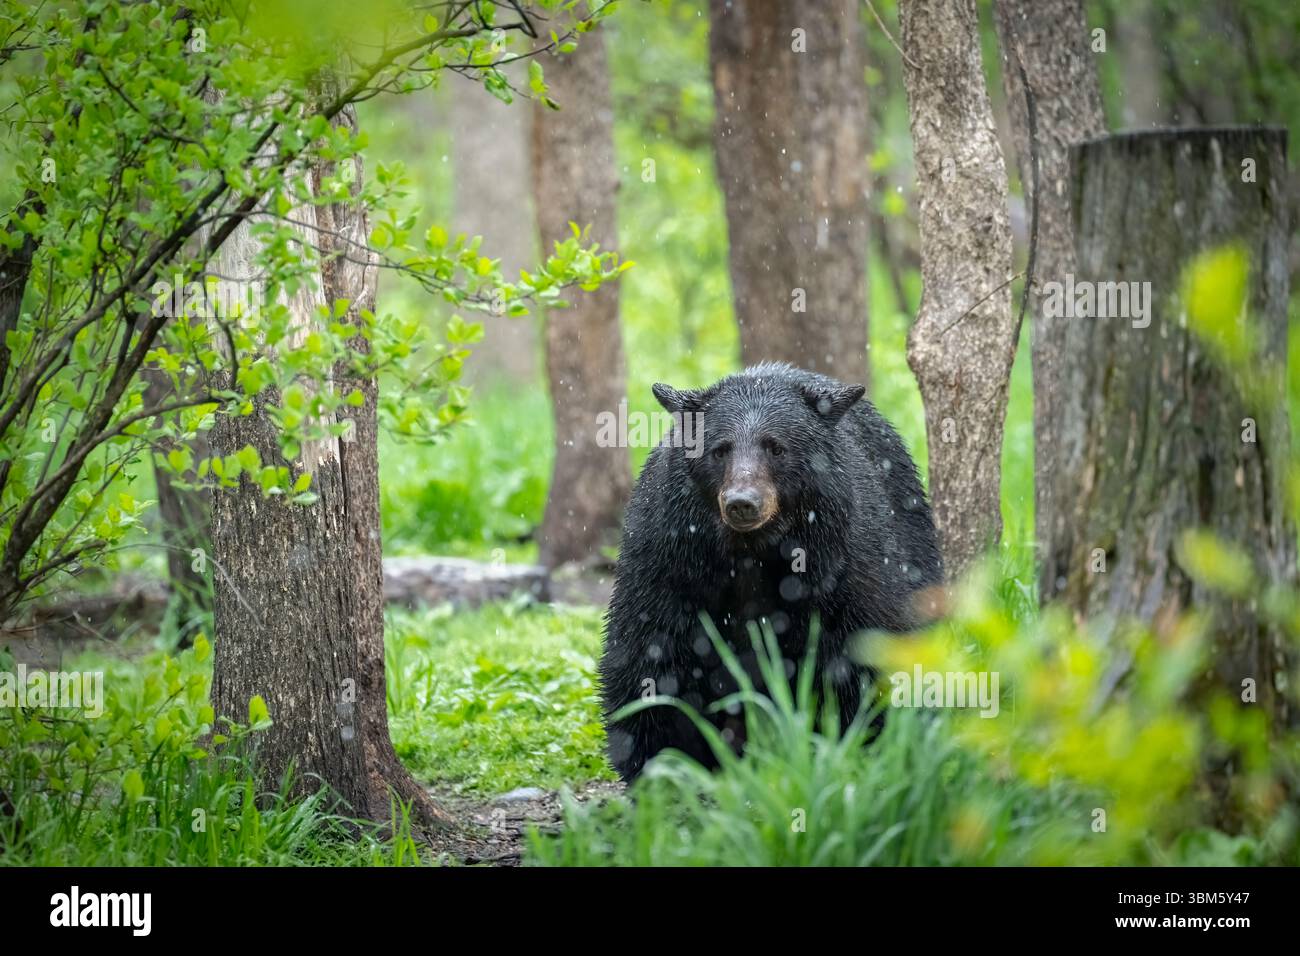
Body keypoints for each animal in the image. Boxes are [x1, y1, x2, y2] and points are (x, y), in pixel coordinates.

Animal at [599, 362, 943, 782]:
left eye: (776, 447)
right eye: (720, 449)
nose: (742, 502)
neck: (751, 552)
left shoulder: (844, 566)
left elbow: (862, 652)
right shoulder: (669, 560)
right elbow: (651, 659)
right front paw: (666, 770)